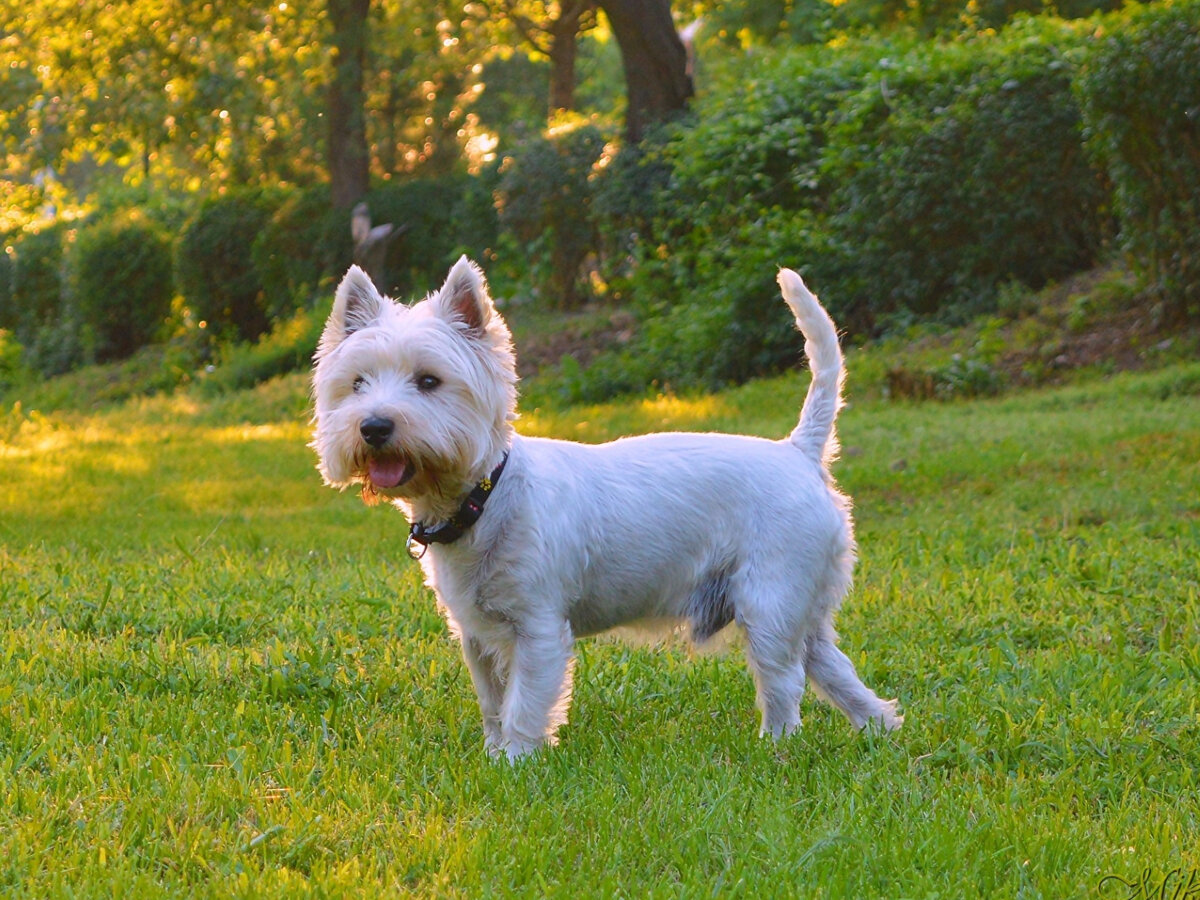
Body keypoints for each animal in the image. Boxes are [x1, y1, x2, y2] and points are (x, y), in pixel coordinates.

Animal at [309, 260, 902, 763]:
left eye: (429, 381)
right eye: (357, 383)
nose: (375, 426)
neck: (484, 498)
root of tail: (798, 452)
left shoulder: (539, 627)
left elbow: (524, 703)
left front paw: (516, 765)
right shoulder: (476, 634)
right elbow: (492, 703)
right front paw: (492, 757)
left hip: (769, 600)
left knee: (785, 681)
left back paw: (774, 746)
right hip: (804, 602)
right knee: (834, 668)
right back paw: (880, 728)